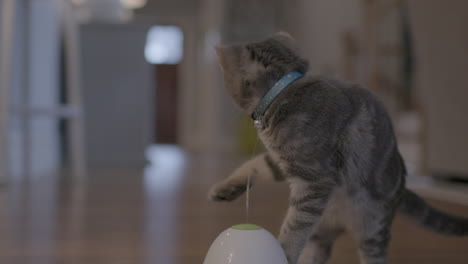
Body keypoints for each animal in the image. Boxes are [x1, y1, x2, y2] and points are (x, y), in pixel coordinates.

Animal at [209, 32, 468, 264]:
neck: (282, 93)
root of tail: (403, 185)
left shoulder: (315, 177)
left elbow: (295, 227)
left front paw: (283, 252)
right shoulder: (282, 161)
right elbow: (253, 164)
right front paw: (226, 187)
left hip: (372, 228)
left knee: (372, 255)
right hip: (322, 229)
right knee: (319, 251)